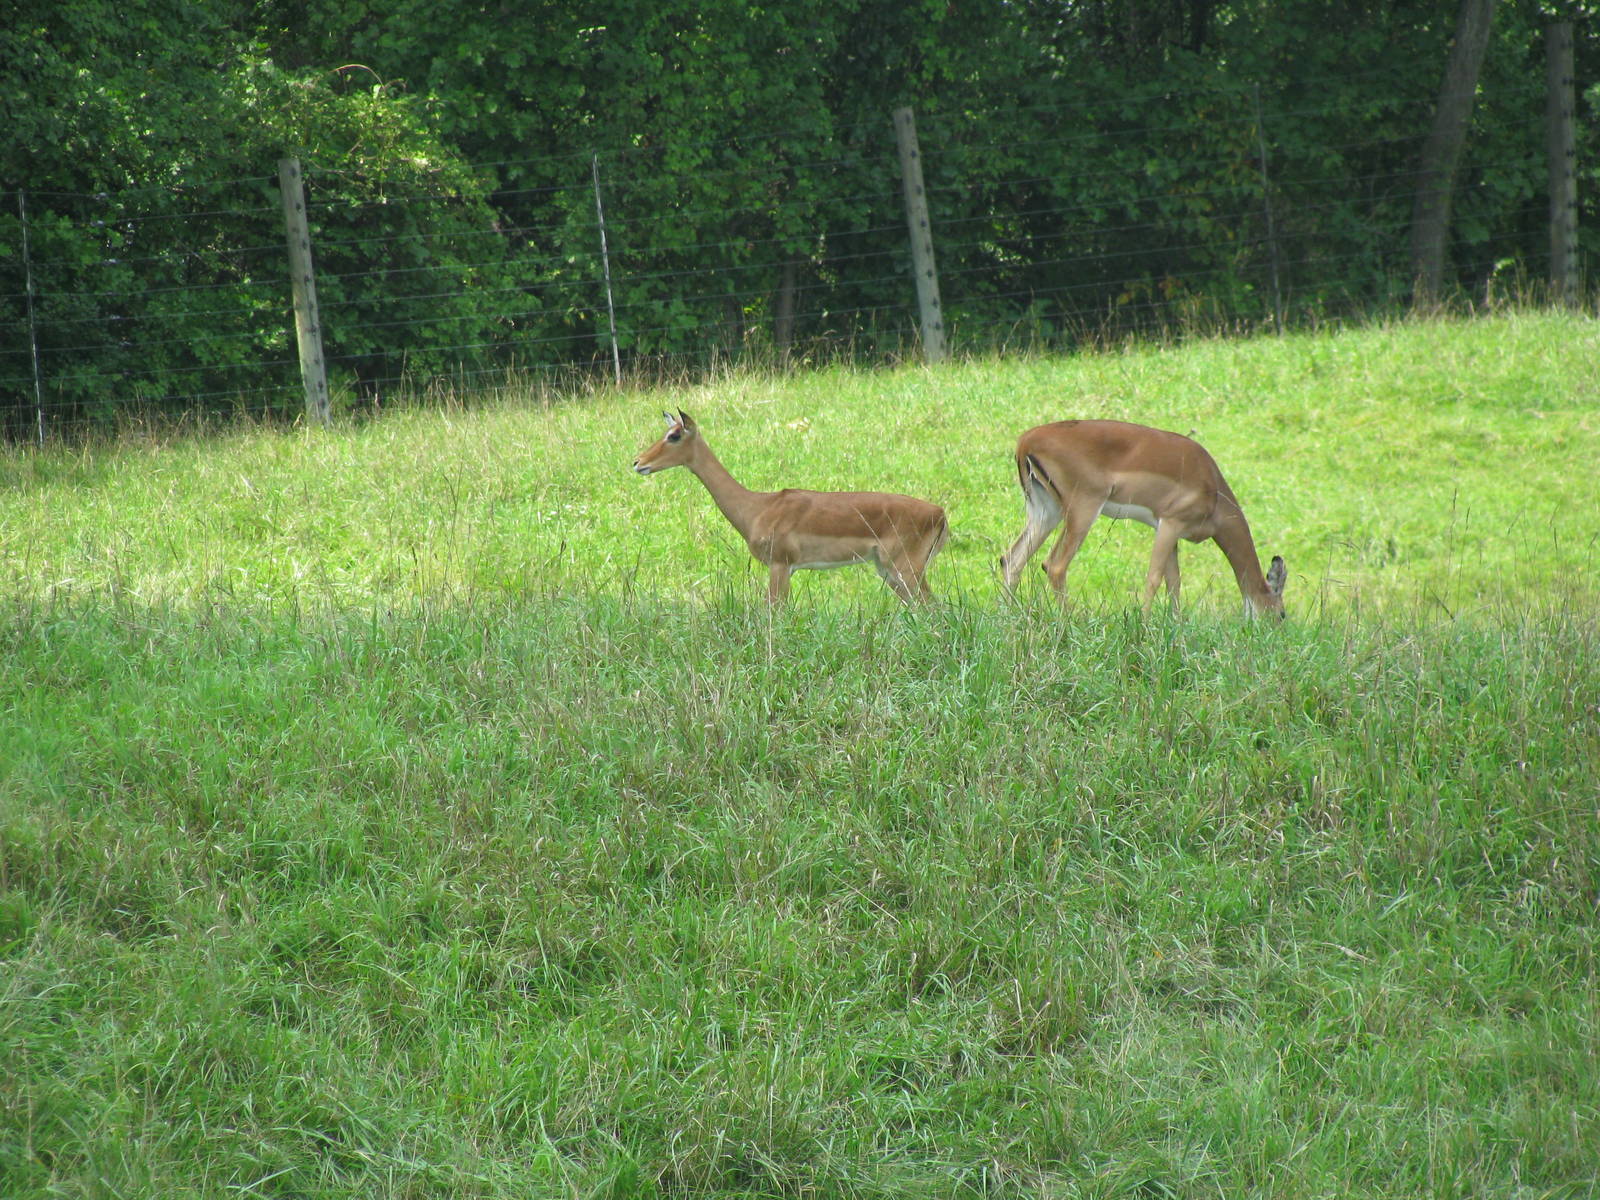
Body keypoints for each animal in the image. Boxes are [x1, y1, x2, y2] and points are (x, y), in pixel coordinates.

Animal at [633, 410, 949, 604]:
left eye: (674, 435)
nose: (638, 462)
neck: (758, 507)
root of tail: (940, 513)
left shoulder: (780, 565)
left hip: (905, 570)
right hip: (889, 572)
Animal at [999, 419, 1286, 618]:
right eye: (1282, 614)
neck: (1213, 488)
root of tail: (1026, 441)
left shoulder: (1169, 531)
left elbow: (1174, 582)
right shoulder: (1171, 523)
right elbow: (1154, 578)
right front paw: (1146, 624)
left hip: (1046, 512)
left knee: (1012, 559)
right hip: (1083, 510)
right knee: (1054, 565)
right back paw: (1069, 619)